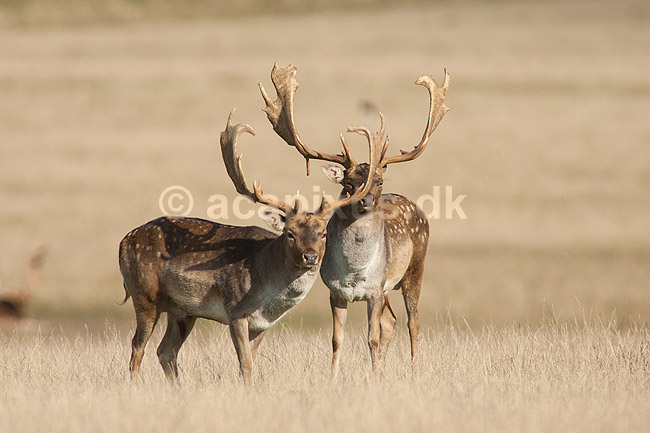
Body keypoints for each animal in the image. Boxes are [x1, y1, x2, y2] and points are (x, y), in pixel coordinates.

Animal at [118, 109, 381, 384]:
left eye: (323, 233)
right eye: (290, 233)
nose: (310, 257)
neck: (266, 290)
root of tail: (124, 242)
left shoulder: (262, 323)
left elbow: (251, 362)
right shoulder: (235, 310)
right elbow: (245, 364)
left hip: (182, 310)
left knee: (165, 350)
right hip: (144, 293)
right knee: (137, 347)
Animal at [259, 63, 450, 378]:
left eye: (379, 180)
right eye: (348, 182)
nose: (366, 201)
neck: (354, 271)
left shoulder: (374, 290)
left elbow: (371, 338)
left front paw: (374, 378)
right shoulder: (336, 292)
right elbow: (337, 339)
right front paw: (336, 378)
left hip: (414, 269)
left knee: (413, 322)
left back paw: (414, 373)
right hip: (388, 287)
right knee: (391, 321)